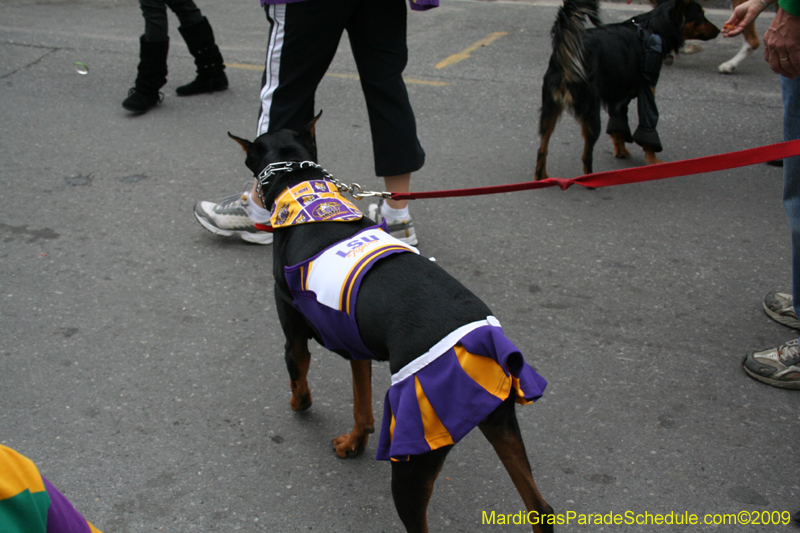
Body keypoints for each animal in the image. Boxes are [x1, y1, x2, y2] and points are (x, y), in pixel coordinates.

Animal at [228, 113, 556, 532]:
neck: (304, 195)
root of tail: (486, 343)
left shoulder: (294, 334)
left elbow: (298, 374)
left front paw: (300, 403)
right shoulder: (356, 344)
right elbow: (362, 407)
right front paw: (354, 443)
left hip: (413, 455)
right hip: (500, 422)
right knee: (540, 509)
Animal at [536, 0, 720, 180]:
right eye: (701, 16)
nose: (719, 31)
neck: (654, 28)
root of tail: (566, 55)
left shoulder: (619, 97)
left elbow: (619, 126)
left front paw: (621, 151)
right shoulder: (648, 90)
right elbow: (648, 127)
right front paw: (653, 160)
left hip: (549, 111)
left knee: (542, 149)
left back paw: (541, 177)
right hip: (591, 114)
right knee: (586, 155)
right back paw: (592, 180)